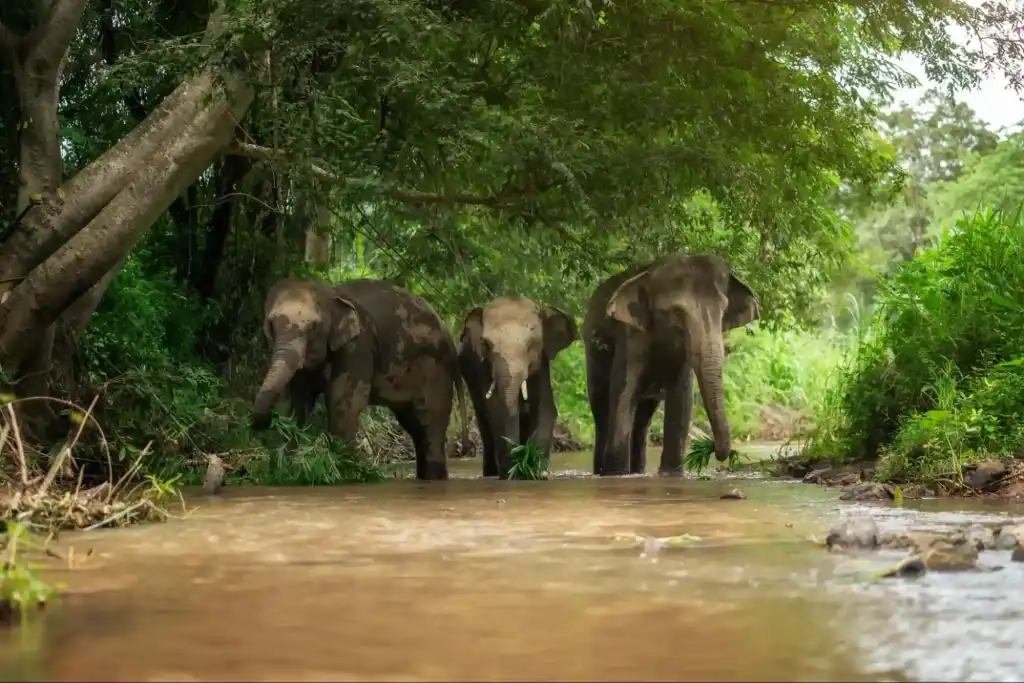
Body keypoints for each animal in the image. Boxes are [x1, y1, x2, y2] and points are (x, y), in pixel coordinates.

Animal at [250, 278, 469, 480]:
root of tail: (450, 338)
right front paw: (284, 471)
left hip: (436, 370)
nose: (263, 422)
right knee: (414, 424)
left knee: (430, 419)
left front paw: (346, 473)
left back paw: (434, 477)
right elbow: (295, 405)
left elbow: (343, 403)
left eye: (313, 326)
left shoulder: (358, 346)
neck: (330, 294)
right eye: (271, 324)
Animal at [458, 296, 578, 479]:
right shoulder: (483, 367)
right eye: (487, 345)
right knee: (484, 421)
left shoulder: (541, 366)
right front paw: (513, 471)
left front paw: (535, 469)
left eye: (531, 345)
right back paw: (491, 472)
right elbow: (497, 410)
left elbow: (546, 408)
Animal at [582, 253, 760, 477]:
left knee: (643, 418)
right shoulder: (630, 336)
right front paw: (616, 474)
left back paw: (637, 471)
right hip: (592, 354)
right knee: (601, 410)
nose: (716, 452)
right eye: (676, 312)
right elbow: (623, 391)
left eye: (723, 311)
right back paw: (602, 472)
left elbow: (681, 398)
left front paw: (671, 474)